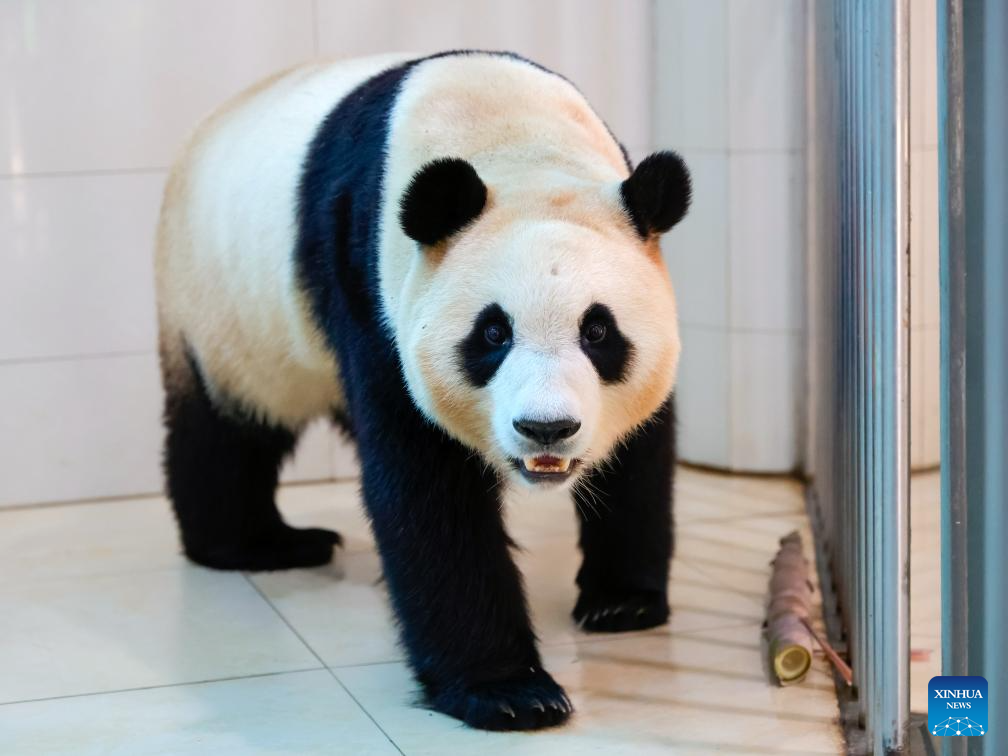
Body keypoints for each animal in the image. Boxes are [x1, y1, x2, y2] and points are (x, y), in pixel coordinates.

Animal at [155, 48, 693, 733]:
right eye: (492, 333)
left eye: (598, 331)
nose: (546, 428)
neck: (512, 133)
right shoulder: (373, 287)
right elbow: (427, 492)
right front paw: (510, 691)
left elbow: (640, 459)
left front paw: (621, 602)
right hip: (222, 311)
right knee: (225, 432)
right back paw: (260, 543)